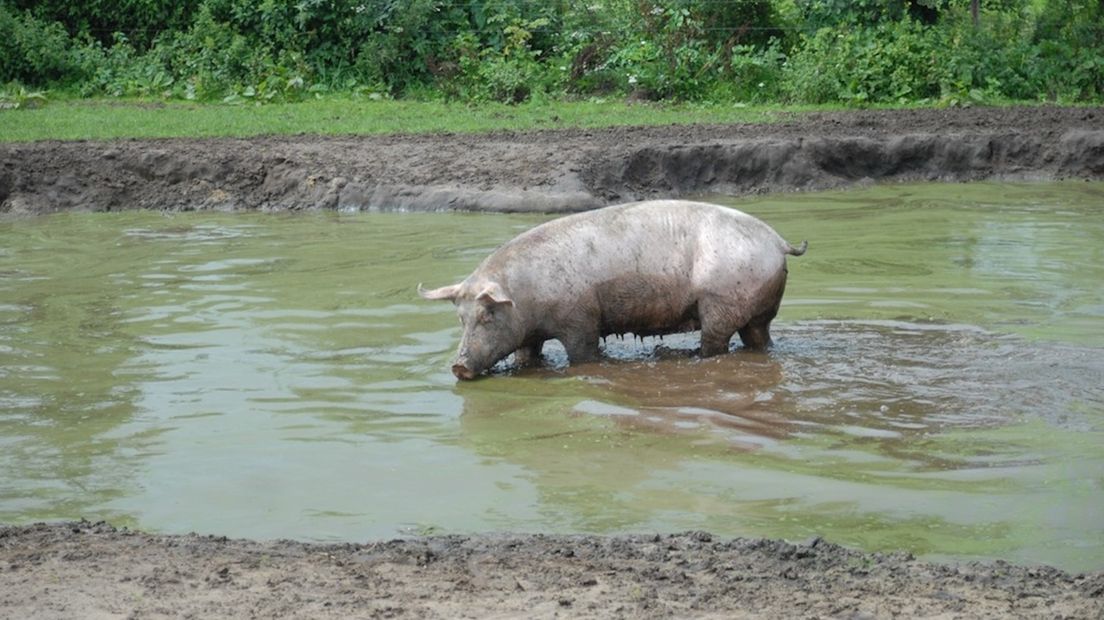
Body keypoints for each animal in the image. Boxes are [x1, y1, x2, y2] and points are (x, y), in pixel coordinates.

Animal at [417, 200, 808, 379]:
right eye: (461, 318)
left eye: (488, 313)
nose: (458, 367)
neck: (526, 292)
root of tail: (779, 242)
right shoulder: (529, 334)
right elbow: (526, 356)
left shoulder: (580, 319)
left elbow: (583, 353)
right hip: (758, 310)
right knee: (760, 338)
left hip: (722, 303)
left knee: (716, 342)